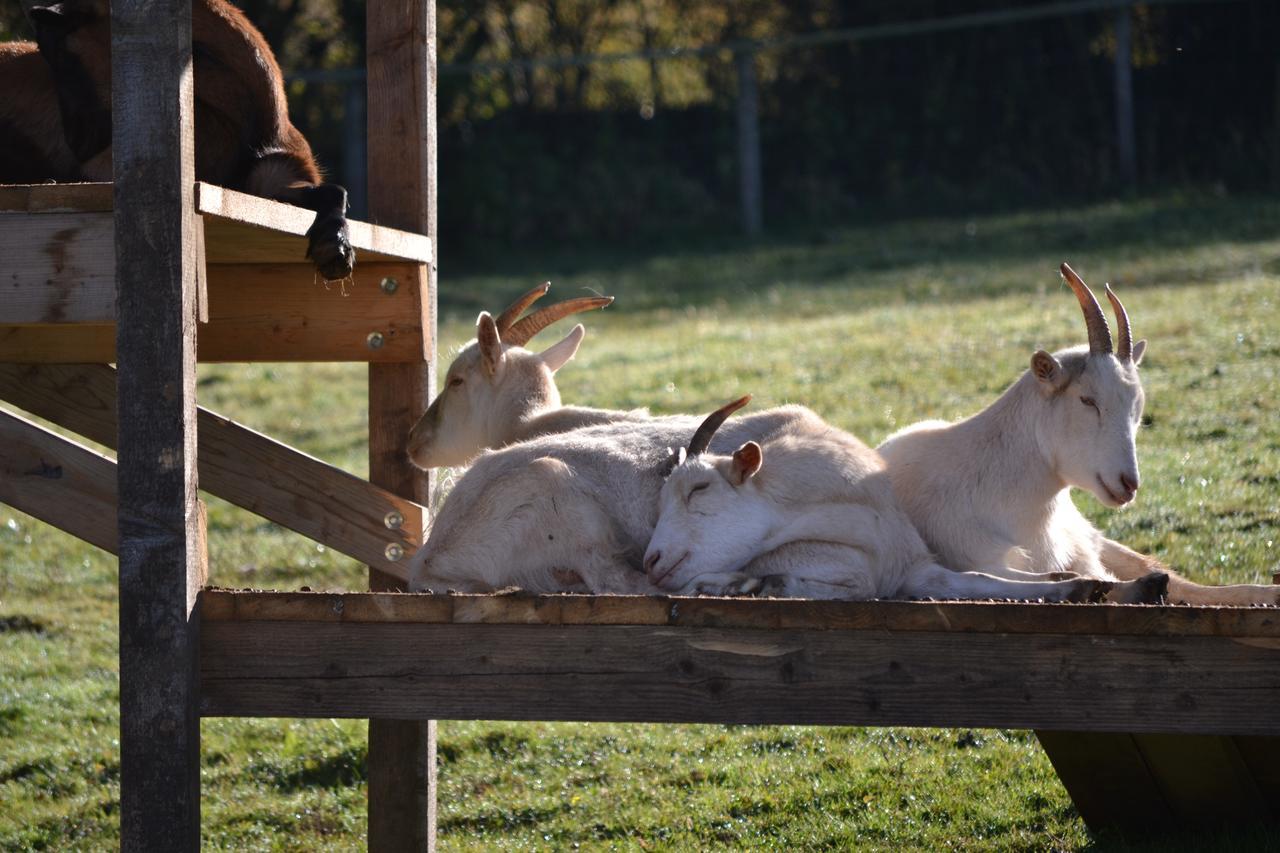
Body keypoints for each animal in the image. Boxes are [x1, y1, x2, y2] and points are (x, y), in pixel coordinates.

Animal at [645, 394, 1167, 601]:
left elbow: (978, 579)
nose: (651, 559)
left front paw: (1081, 586)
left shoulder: (911, 567)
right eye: (663, 496)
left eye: (699, 488)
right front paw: (740, 583)